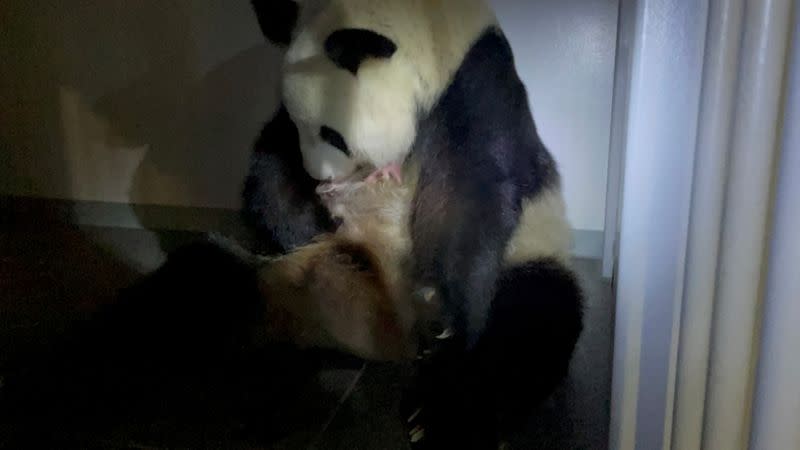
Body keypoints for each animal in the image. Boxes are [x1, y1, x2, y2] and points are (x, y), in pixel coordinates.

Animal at [241, 1, 584, 448]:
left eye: (332, 134)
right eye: (303, 127)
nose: (319, 178)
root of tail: (393, 335)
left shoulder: (476, 84)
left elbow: (471, 190)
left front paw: (446, 314)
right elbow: (271, 159)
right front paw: (303, 221)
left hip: (531, 253)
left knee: (530, 322)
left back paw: (441, 412)